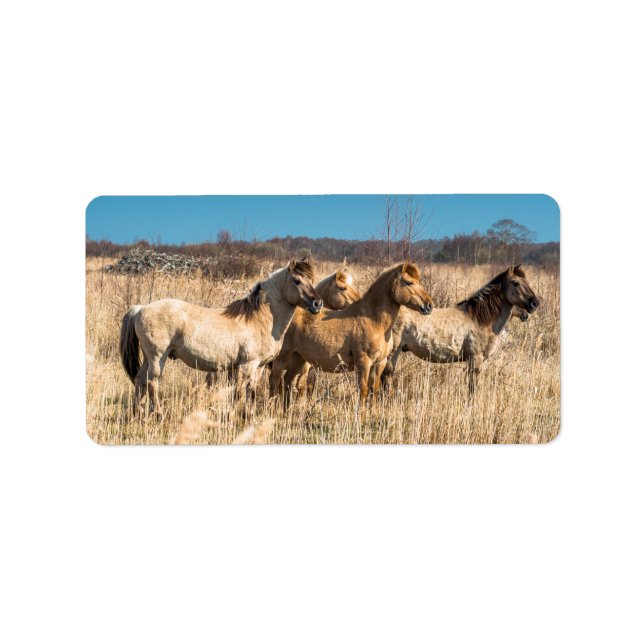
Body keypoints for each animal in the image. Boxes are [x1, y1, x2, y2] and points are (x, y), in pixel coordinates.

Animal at [120, 259, 323, 414]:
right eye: (297, 280)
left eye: (311, 279)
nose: (317, 303)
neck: (260, 318)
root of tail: (140, 309)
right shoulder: (247, 365)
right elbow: (239, 393)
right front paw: (233, 415)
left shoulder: (255, 367)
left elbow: (250, 391)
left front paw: (248, 415)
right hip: (157, 357)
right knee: (152, 383)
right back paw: (158, 413)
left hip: (148, 358)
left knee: (139, 381)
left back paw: (137, 412)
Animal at [269, 262, 433, 408]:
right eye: (408, 282)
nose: (429, 305)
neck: (375, 321)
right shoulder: (363, 363)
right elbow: (364, 391)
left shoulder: (379, 363)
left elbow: (374, 390)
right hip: (284, 357)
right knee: (275, 380)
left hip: (299, 358)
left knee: (288, 381)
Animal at [381, 264, 539, 396]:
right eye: (516, 283)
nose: (535, 303)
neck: (480, 319)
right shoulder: (475, 360)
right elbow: (472, 387)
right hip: (393, 353)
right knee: (385, 377)